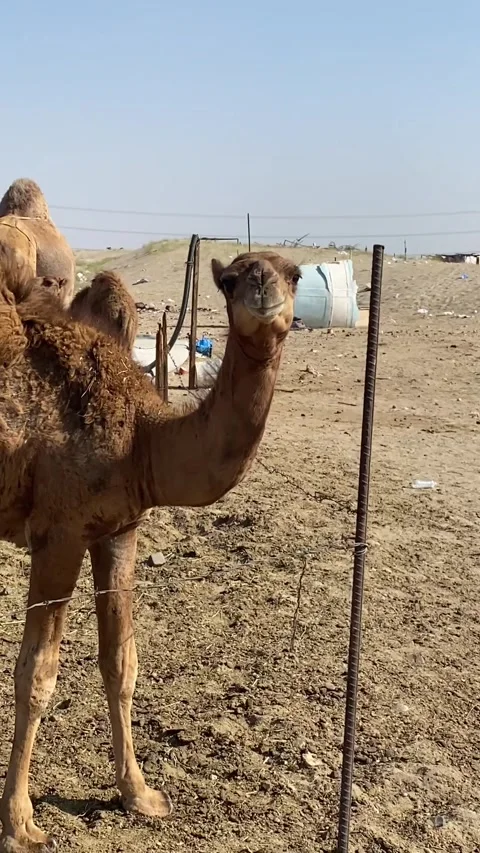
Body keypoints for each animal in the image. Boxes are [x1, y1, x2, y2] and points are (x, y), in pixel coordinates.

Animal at [0, 245, 300, 852]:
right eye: (230, 279)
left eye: (296, 274)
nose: (261, 284)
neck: (143, 439)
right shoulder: (58, 534)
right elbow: (37, 673)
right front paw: (20, 823)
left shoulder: (117, 530)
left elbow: (121, 662)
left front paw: (139, 796)